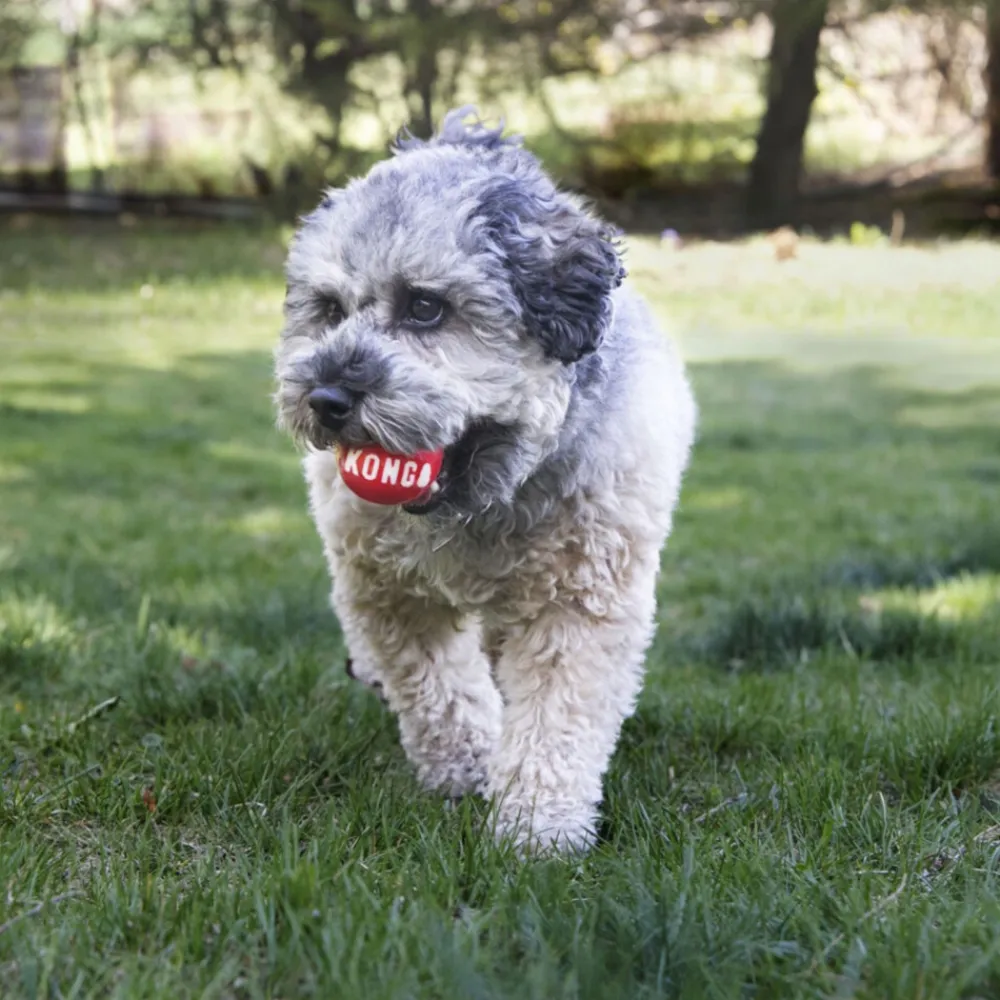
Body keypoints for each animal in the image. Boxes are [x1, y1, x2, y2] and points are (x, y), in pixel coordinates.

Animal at [274, 107, 696, 853]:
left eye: (425, 307)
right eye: (328, 308)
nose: (326, 398)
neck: (481, 506)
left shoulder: (579, 602)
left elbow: (556, 716)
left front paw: (536, 827)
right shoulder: (387, 592)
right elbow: (435, 687)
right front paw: (467, 766)